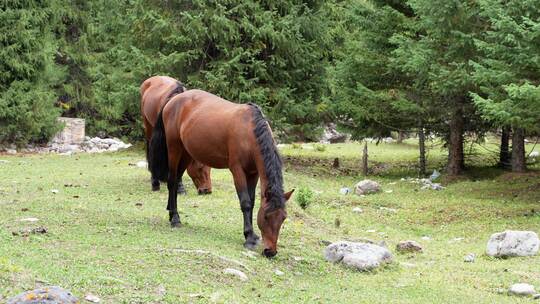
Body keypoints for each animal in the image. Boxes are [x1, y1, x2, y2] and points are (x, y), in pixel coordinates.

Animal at [149, 89, 296, 258]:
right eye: (266, 216)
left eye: (283, 218)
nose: (270, 251)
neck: (250, 132)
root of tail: (173, 100)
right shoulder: (237, 171)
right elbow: (245, 202)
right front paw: (249, 238)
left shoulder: (253, 173)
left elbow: (252, 202)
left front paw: (252, 235)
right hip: (174, 149)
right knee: (172, 181)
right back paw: (175, 219)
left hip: (186, 153)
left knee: (176, 180)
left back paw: (170, 211)